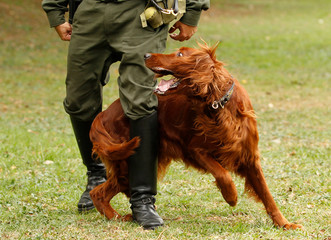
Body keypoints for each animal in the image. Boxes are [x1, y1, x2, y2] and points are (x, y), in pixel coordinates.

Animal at [89, 43, 302, 231]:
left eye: (180, 54)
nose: (146, 55)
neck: (220, 106)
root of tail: (105, 113)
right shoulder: (195, 150)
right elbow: (222, 173)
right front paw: (231, 196)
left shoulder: (250, 158)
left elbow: (267, 195)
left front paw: (284, 223)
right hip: (128, 164)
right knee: (98, 192)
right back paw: (120, 218)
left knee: (98, 193)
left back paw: (120, 218)